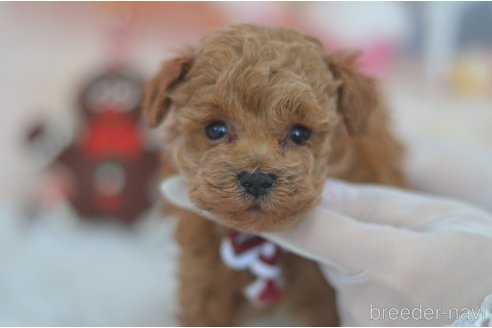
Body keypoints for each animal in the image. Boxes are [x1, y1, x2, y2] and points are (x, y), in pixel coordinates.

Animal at [141, 25, 404, 326]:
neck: (260, 240)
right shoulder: (204, 275)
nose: (256, 180)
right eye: (215, 129)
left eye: (300, 133)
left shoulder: (324, 299)